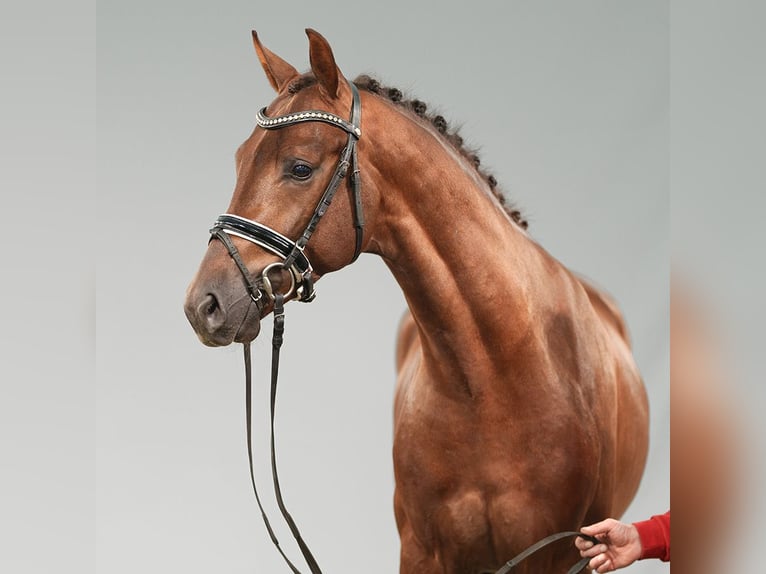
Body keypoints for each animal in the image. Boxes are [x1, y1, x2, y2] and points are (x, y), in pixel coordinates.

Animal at [184, 30, 648, 574]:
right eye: (240, 159)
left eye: (300, 168)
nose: (204, 304)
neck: (493, 380)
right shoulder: (421, 551)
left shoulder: (555, 555)